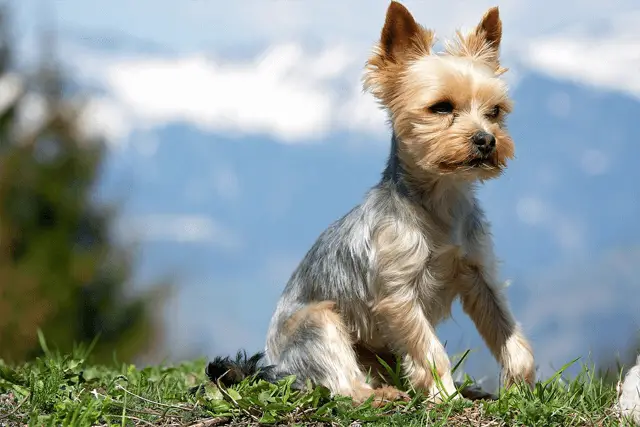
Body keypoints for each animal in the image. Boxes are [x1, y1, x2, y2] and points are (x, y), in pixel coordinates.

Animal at [209, 0, 536, 408]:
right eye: (441, 107)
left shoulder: (480, 275)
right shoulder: (398, 295)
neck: (442, 200)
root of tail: (272, 367)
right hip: (319, 322)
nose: (487, 140)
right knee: (342, 385)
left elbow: (510, 335)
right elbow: (430, 350)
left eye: (495, 111)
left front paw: (519, 389)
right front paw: (444, 397)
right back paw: (382, 395)